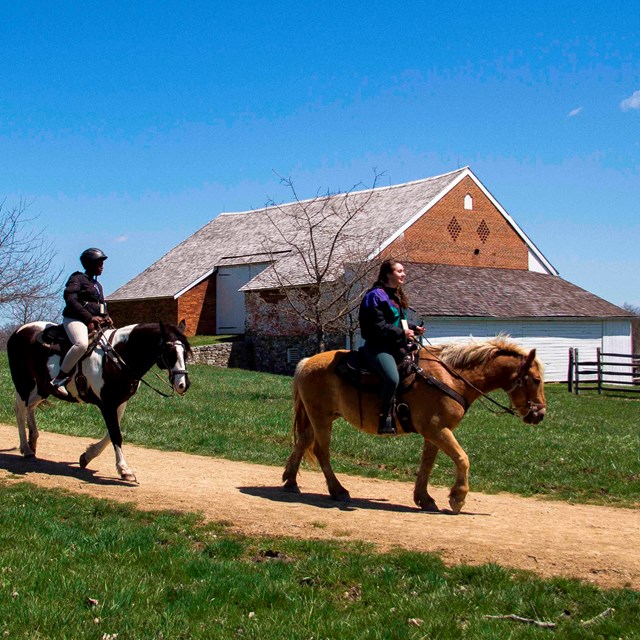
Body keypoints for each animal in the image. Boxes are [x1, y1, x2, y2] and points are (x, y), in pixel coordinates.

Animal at [6, 320, 191, 480]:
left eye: (185, 353)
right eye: (170, 352)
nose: (183, 384)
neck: (117, 357)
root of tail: (19, 330)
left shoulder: (120, 403)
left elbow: (111, 434)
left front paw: (87, 456)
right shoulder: (107, 405)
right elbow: (116, 435)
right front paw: (124, 470)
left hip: (42, 388)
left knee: (30, 407)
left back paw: (32, 441)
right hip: (23, 382)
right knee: (20, 411)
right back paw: (26, 449)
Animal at [284, 338, 544, 512]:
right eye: (536, 380)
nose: (539, 414)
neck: (451, 379)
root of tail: (306, 362)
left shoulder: (434, 432)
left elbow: (427, 464)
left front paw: (425, 498)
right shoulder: (437, 429)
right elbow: (462, 458)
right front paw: (457, 498)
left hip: (319, 417)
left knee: (303, 441)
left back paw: (291, 481)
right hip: (321, 418)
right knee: (321, 451)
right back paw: (338, 490)